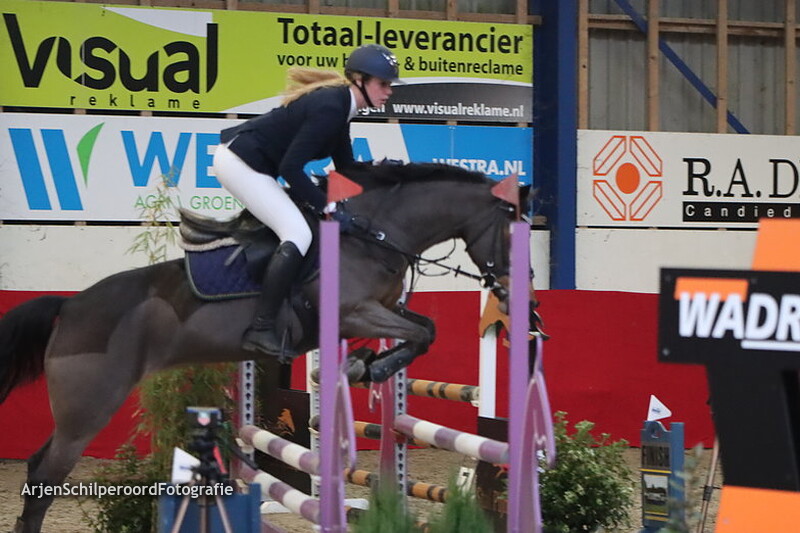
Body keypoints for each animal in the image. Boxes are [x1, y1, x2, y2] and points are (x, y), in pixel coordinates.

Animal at [0, 161, 531, 533]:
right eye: (511, 232)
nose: (517, 290)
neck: (375, 235)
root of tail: (70, 304)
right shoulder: (352, 311)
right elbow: (421, 333)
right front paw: (370, 369)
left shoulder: (376, 311)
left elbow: (424, 328)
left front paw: (366, 364)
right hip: (89, 407)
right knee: (46, 476)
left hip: (80, 411)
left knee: (38, 466)